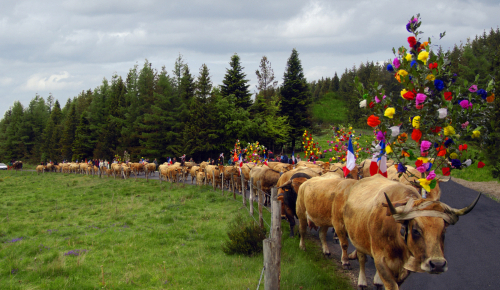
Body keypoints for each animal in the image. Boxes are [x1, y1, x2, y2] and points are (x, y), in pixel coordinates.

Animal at [340, 173, 480, 288]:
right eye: (416, 231)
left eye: (444, 230)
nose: (438, 265)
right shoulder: (380, 259)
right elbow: (390, 284)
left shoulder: (407, 266)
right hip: (358, 239)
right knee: (361, 258)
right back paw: (362, 281)